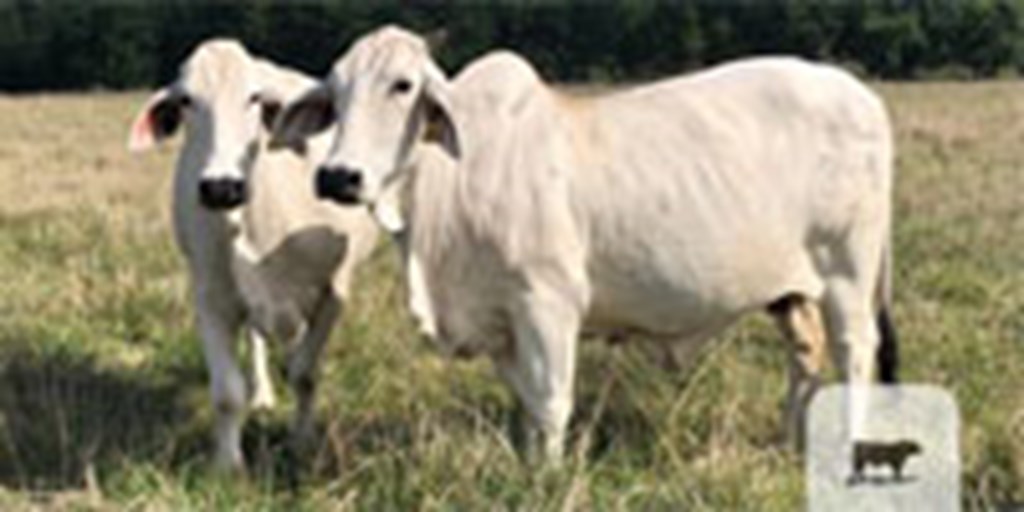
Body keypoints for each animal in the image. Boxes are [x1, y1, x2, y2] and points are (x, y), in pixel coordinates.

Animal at [126, 38, 378, 471]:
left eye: (254, 98)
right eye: (186, 100)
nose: (220, 186)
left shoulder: (334, 292)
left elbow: (305, 374)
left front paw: (302, 442)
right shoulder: (211, 298)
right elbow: (227, 392)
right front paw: (228, 467)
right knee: (258, 340)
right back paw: (262, 394)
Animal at [270, 25, 897, 462]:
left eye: (402, 86)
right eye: (335, 93)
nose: (338, 177)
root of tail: (859, 94)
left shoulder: (548, 302)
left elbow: (551, 403)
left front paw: (545, 479)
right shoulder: (502, 321)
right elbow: (525, 402)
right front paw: (525, 465)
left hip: (848, 274)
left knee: (855, 352)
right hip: (789, 292)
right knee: (805, 355)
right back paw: (793, 442)